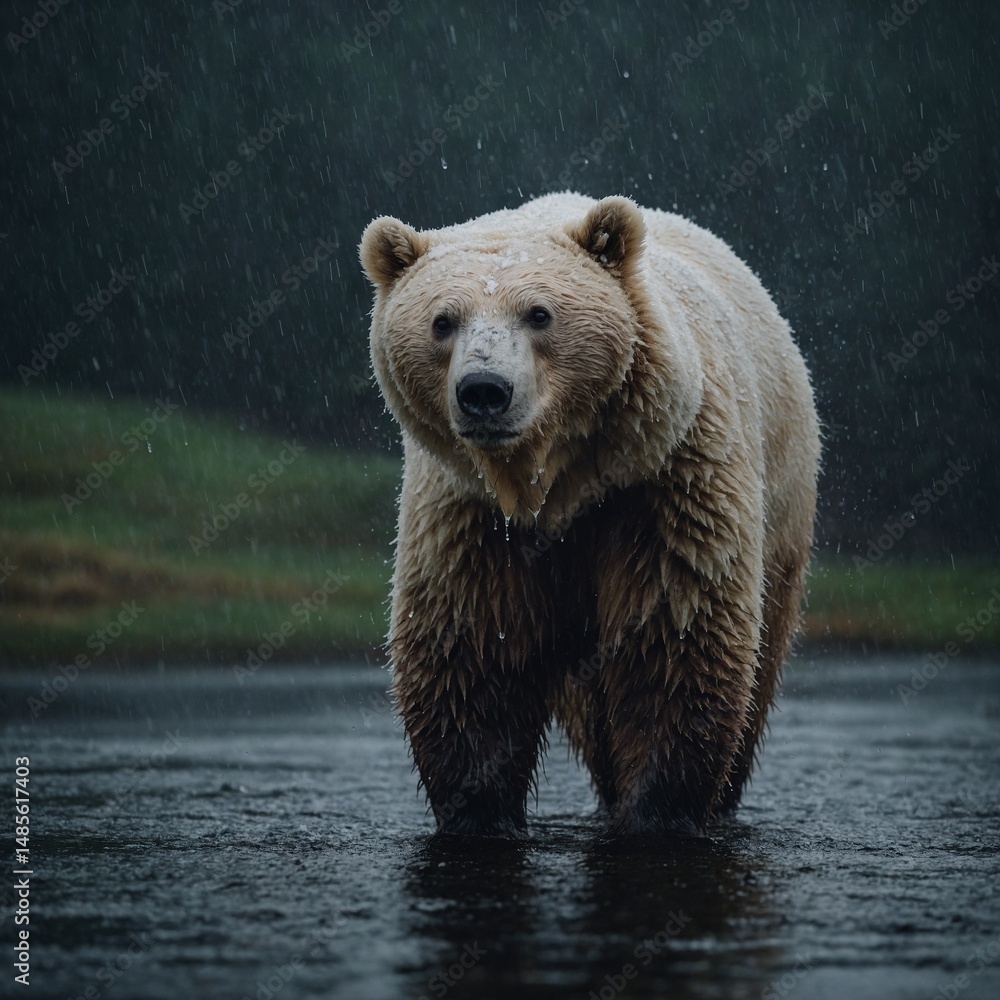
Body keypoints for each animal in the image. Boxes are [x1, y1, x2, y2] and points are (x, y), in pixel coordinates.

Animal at [359, 192, 820, 837]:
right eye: (442, 320)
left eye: (539, 313)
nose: (484, 391)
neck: (554, 485)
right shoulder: (470, 514)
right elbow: (471, 647)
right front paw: (479, 810)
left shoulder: (661, 485)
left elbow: (672, 636)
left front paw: (657, 811)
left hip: (782, 510)